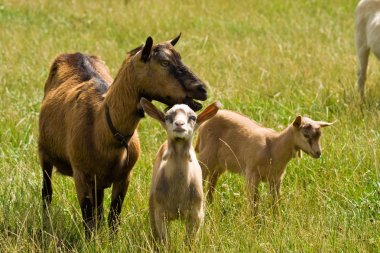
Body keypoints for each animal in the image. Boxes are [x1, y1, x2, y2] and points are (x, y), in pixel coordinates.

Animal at [38, 34, 208, 236]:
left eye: (179, 57)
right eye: (164, 62)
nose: (202, 89)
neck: (102, 129)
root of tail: (75, 53)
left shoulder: (124, 176)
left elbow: (113, 216)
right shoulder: (81, 175)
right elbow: (88, 219)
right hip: (44, 154)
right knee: (47, 192)